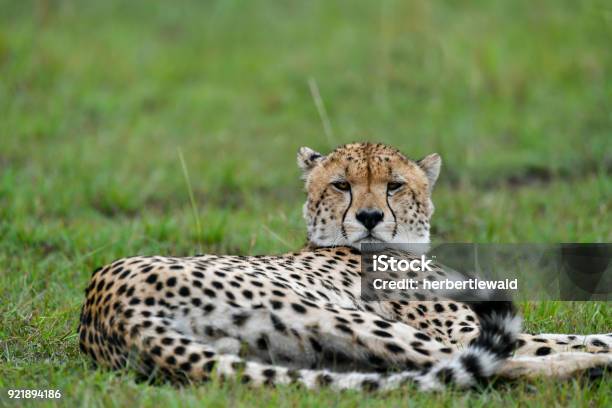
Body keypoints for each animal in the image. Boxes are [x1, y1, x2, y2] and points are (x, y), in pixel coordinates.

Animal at [79, 142, 608, 390]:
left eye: (394, 185)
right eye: (341, 185)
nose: (369, 217)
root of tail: (103, 307)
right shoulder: (459, 328)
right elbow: (548, 340)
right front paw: (595, 351)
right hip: (339, 316)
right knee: (483, 362)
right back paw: (591, 370)